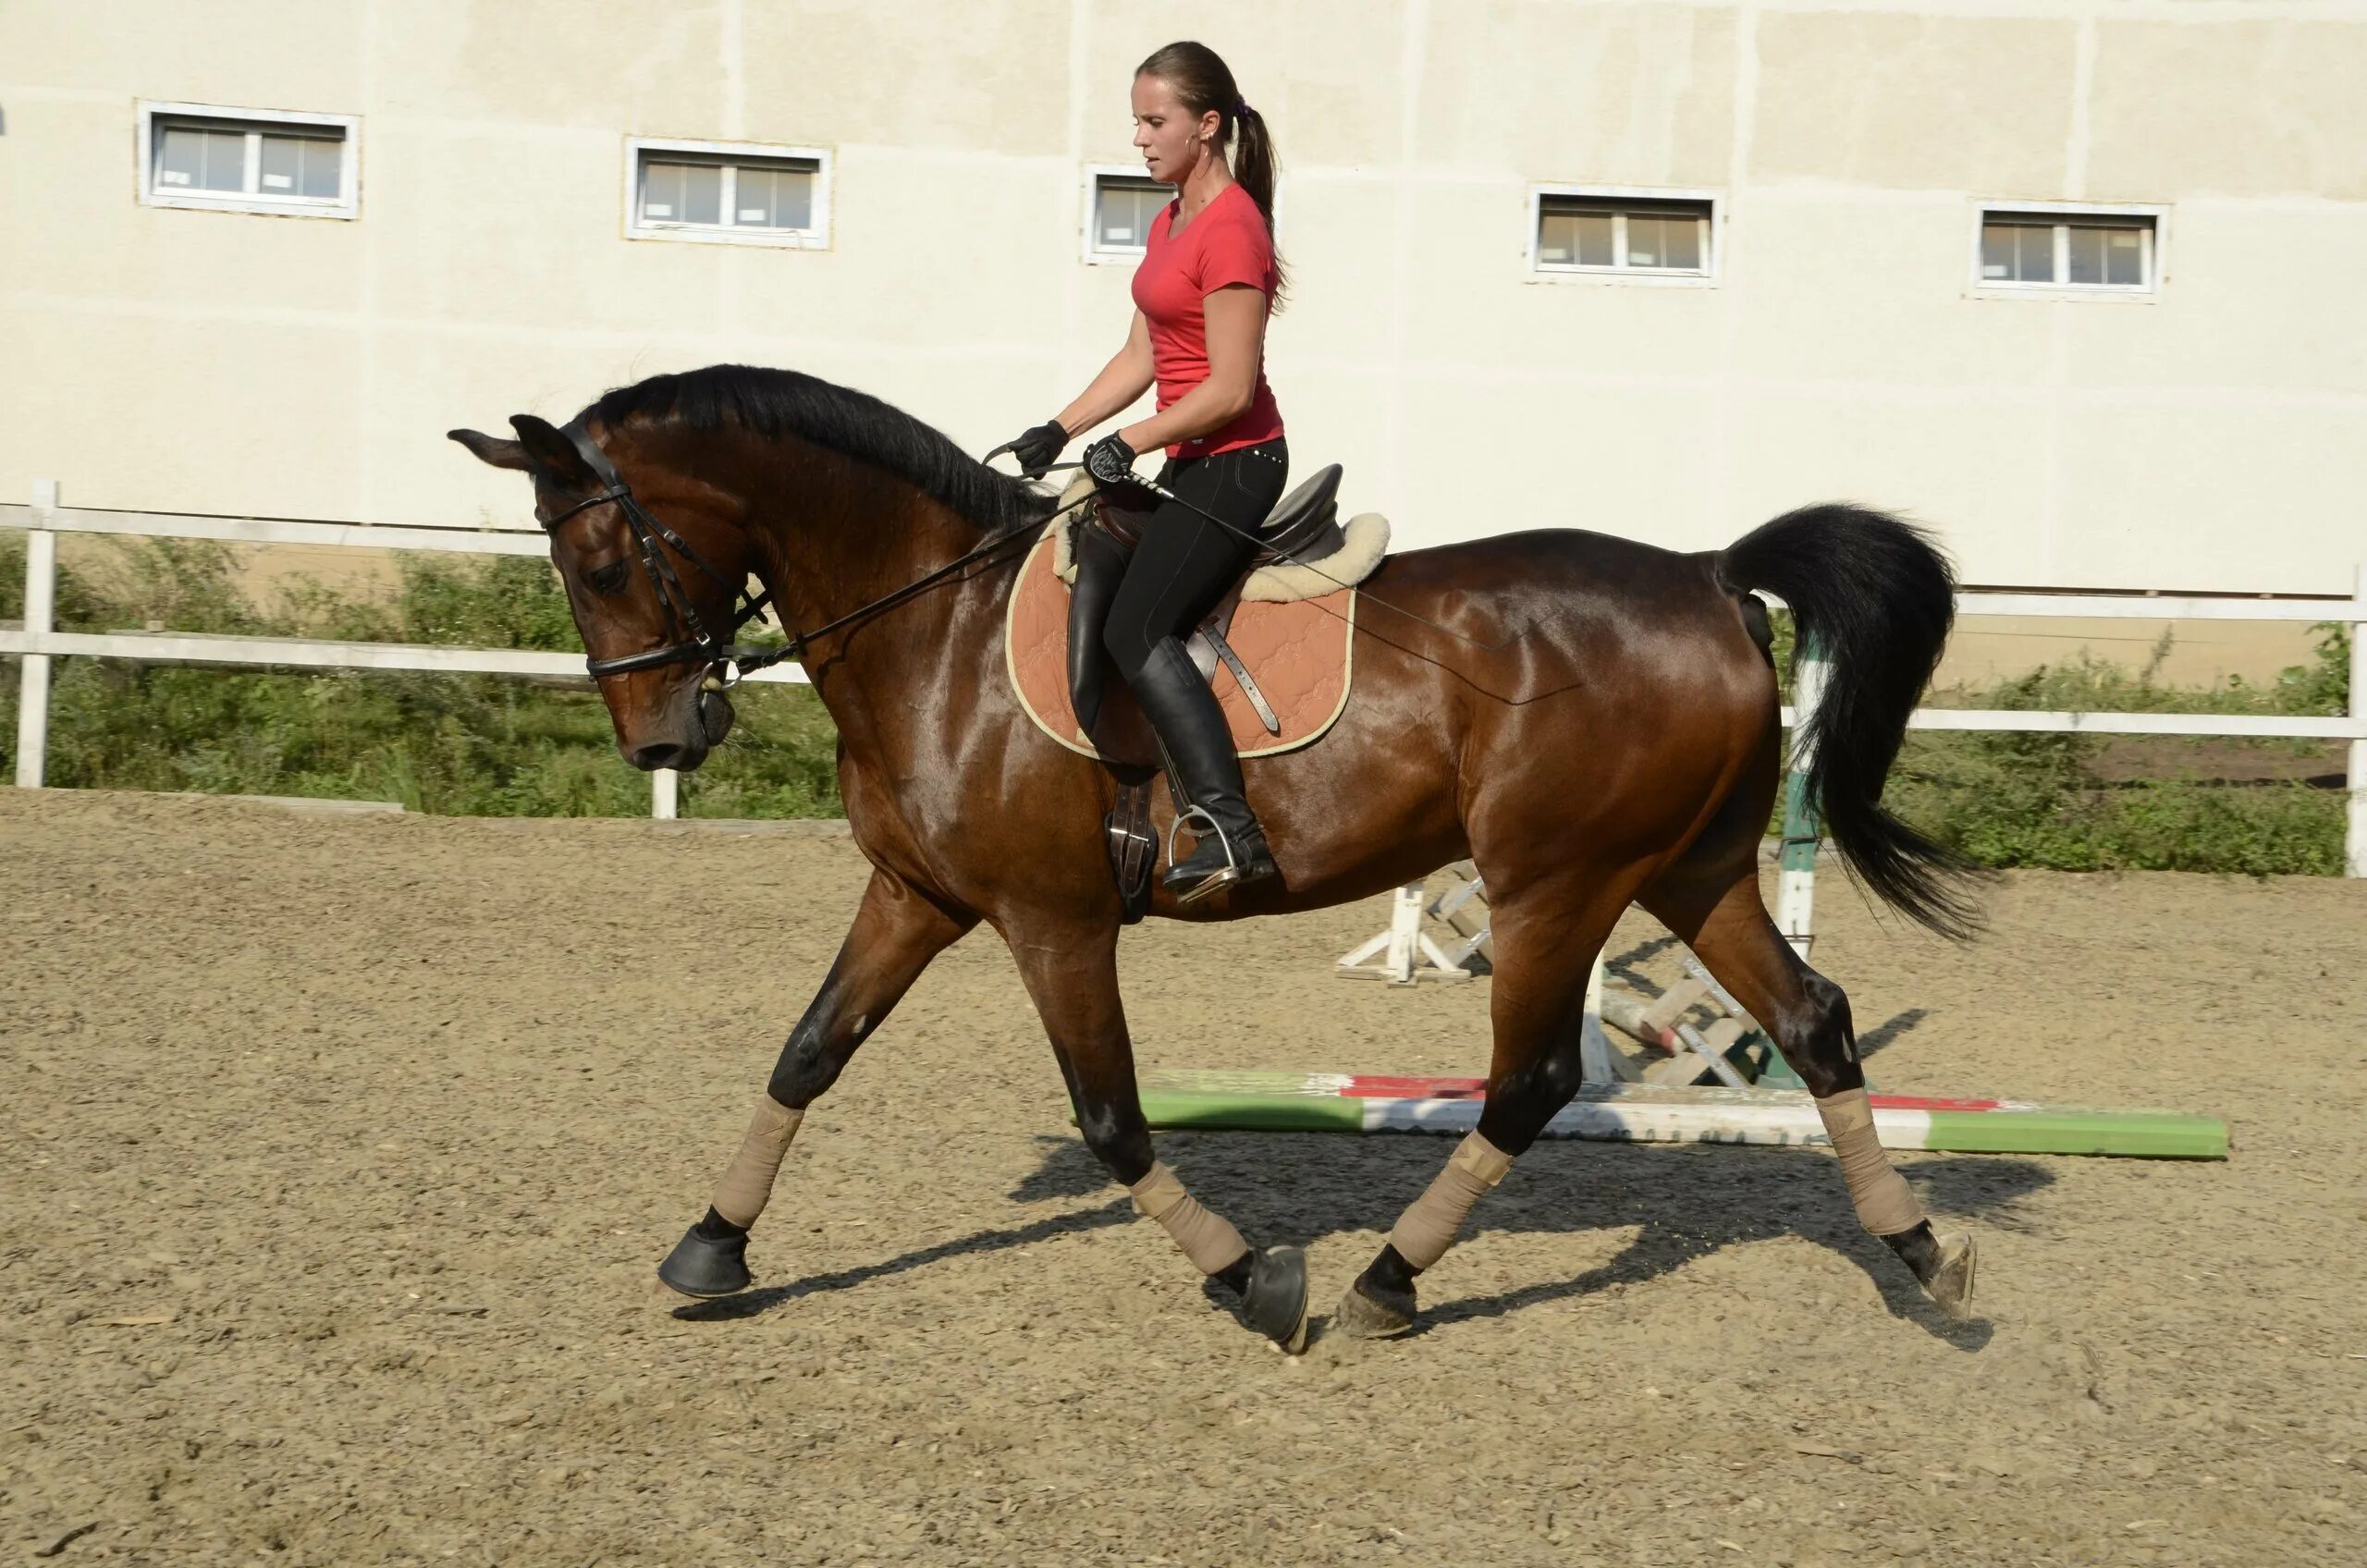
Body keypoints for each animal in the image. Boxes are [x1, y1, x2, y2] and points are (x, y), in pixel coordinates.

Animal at [451, 361, 1988, 1354]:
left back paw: (1383, 1283)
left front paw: (1256, 1283)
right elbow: (807, 1052)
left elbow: (1112, 1117)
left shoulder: (1053, 921)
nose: (666, 737)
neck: (931, 625)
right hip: (1687, 870)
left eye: (601, 562)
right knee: (1813, 1019)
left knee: (1536, 1077)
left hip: (1555, 884)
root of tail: (1708, 573)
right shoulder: (918, 895)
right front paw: (713, 1245)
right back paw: (1921, 1253)